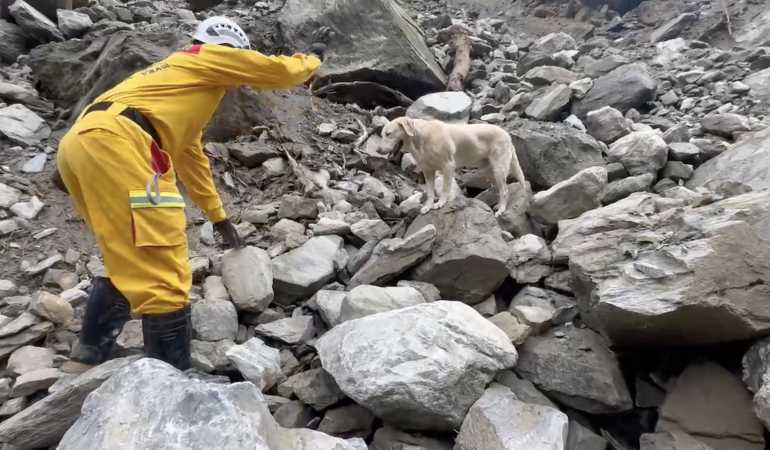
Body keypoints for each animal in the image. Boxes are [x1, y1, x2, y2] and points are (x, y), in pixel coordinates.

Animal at [376, 117, 524, 217]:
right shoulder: (428, 171)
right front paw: (428, 206)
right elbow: (430, 192)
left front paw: (440, 203)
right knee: (501, 189)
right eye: (382, 134)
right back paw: (500, 205)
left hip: (499, 169)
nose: (377, 150)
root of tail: (507, 135)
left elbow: (445, 189)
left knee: (504, 190)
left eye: (389, 133)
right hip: (488, 170)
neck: (422, 140)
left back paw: (501, 210)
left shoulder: (448, 167)